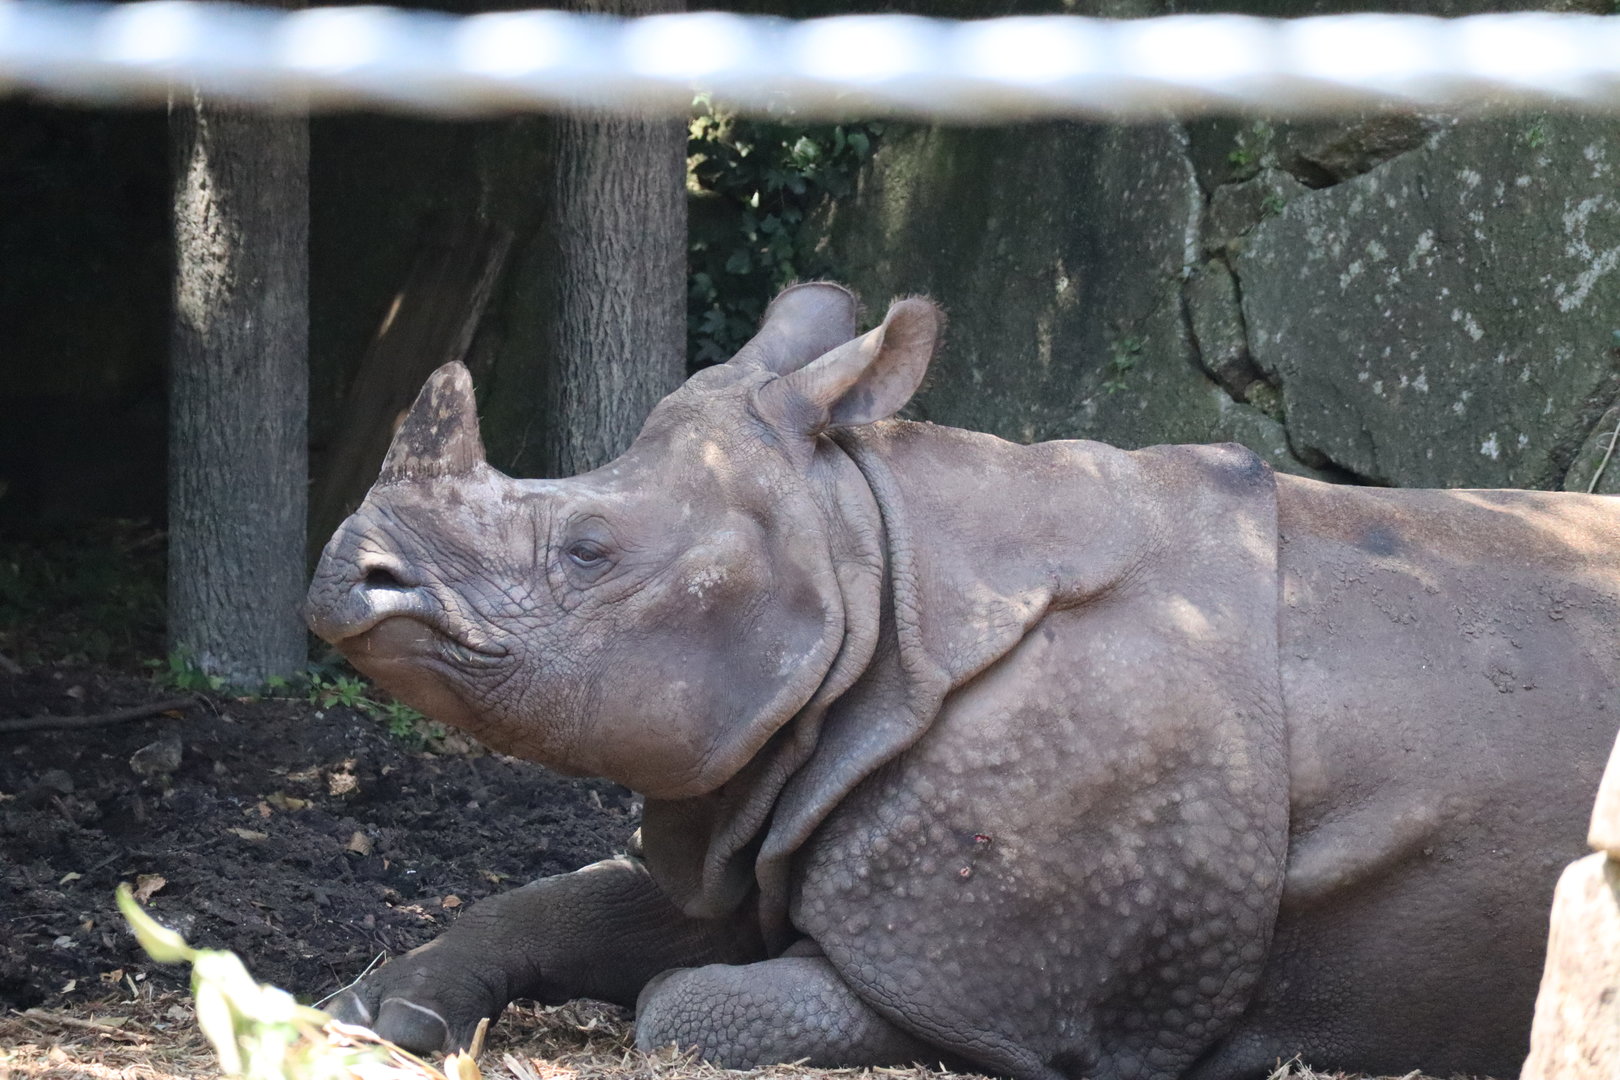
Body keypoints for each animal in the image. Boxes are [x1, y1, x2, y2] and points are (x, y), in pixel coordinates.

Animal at [305, 282, 1620, 1080]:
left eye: (589, 550)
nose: (344, 573)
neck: (867, 575)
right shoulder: (767, 790)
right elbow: (562, 903)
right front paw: (371, 1016)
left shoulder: (978, 973)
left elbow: (689, 1001)